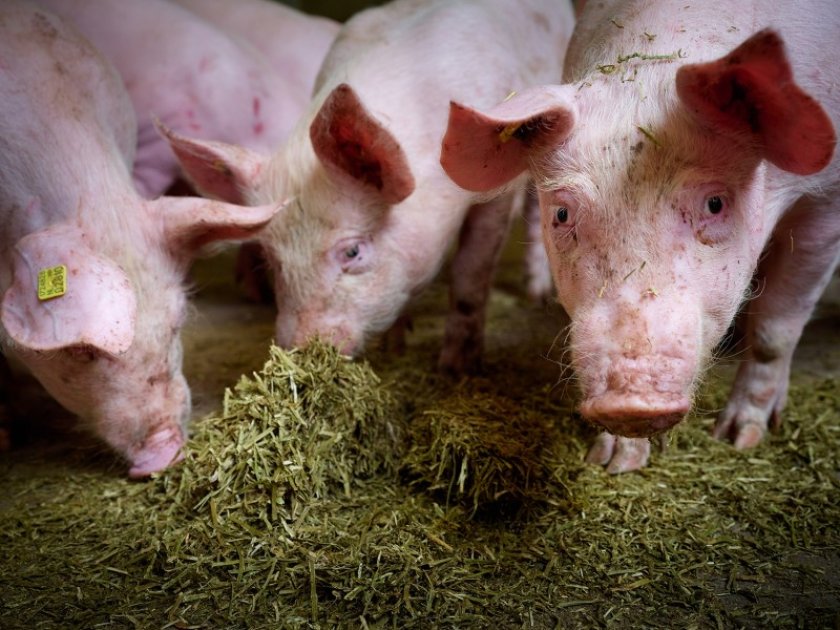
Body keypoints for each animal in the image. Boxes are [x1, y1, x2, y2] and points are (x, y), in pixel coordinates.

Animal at [160, 0, 576, 376]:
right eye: (272, 259)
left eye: (352, 251)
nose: (301, 352)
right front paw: (395, 345)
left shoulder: (495, 196)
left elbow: (471, 270)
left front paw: (458, 369)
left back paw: (537, 295)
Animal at [442, 0, 836, 474]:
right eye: (561, 213)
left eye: (715, 204)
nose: (629, 400)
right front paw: (612, 463)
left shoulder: (827, 202)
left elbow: (775, 333)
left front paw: (739, 439)